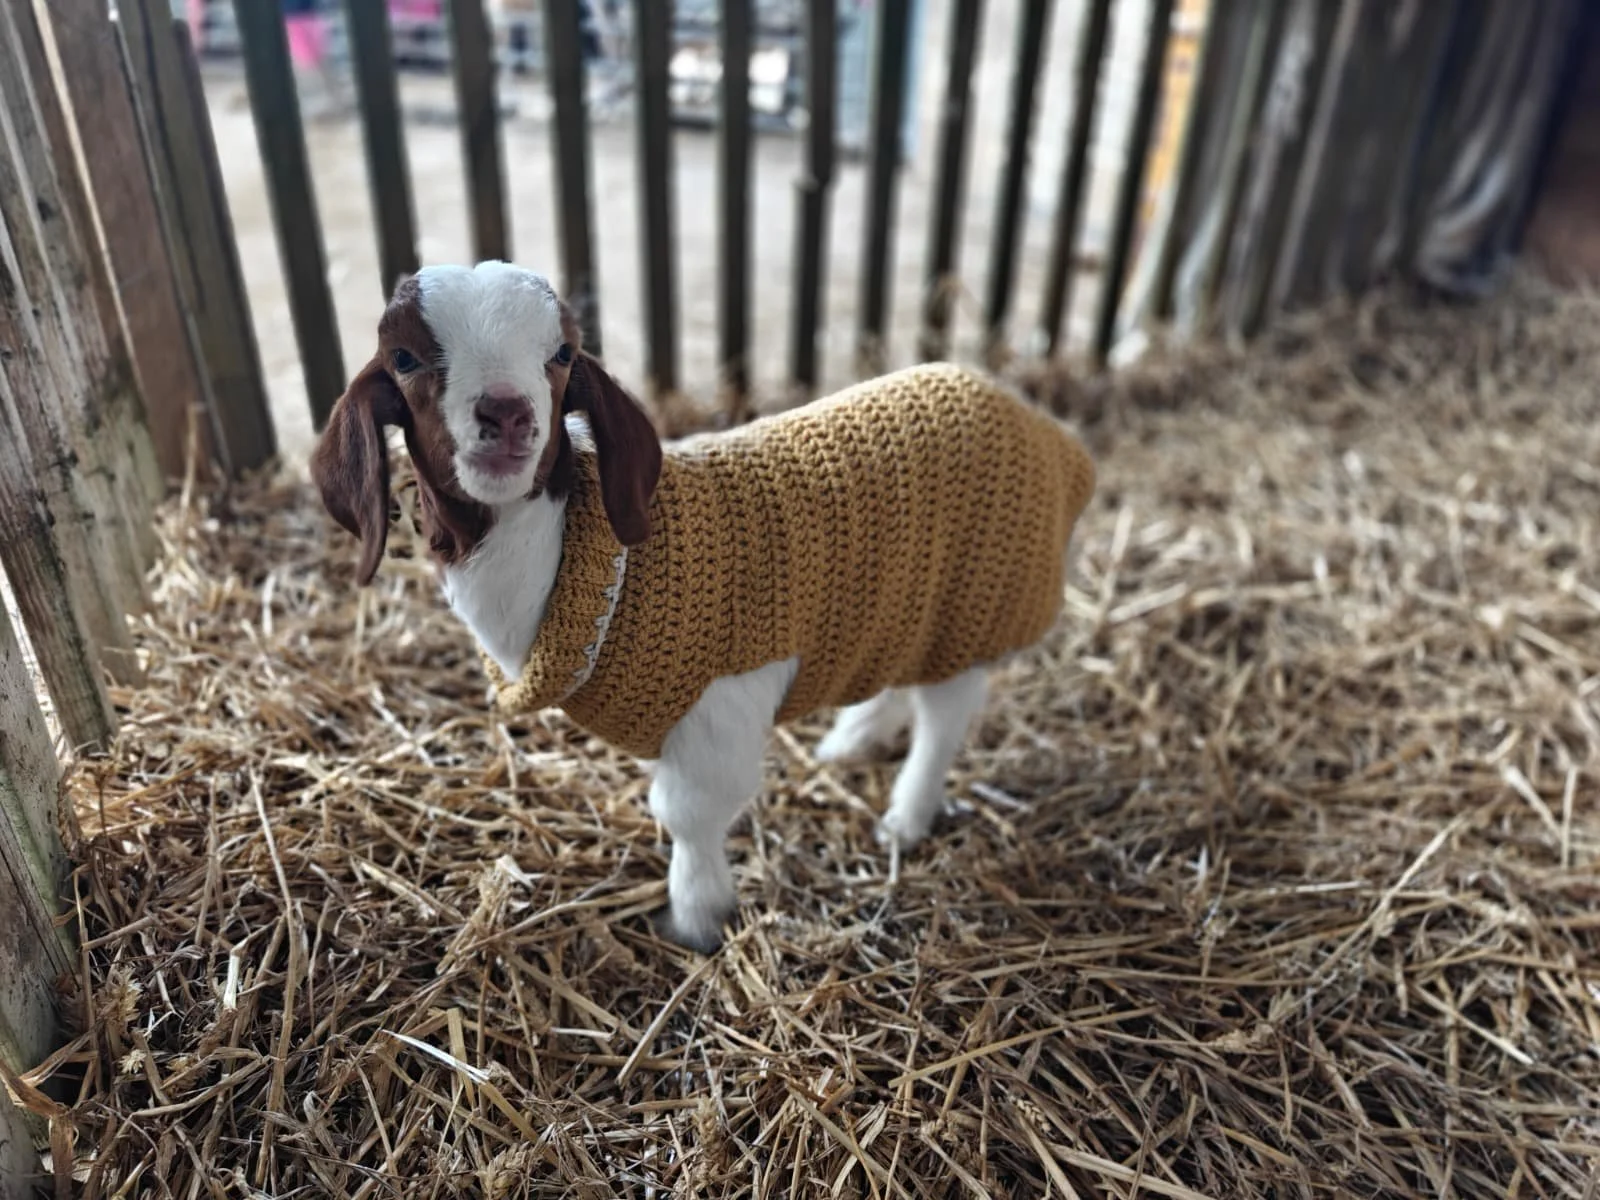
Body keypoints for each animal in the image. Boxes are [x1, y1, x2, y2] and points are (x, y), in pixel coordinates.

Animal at [311, 261, 1096, 951]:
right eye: (405, 357)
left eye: (562, 353)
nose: (506, 413)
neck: (567, 553)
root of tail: (1050, 437)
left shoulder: (720, 709)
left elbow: (687, 814)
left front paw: (695, 919)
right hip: (911, 604)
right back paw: (853, 739)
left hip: (981, 597)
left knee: (945, 716)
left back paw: (905, 816)